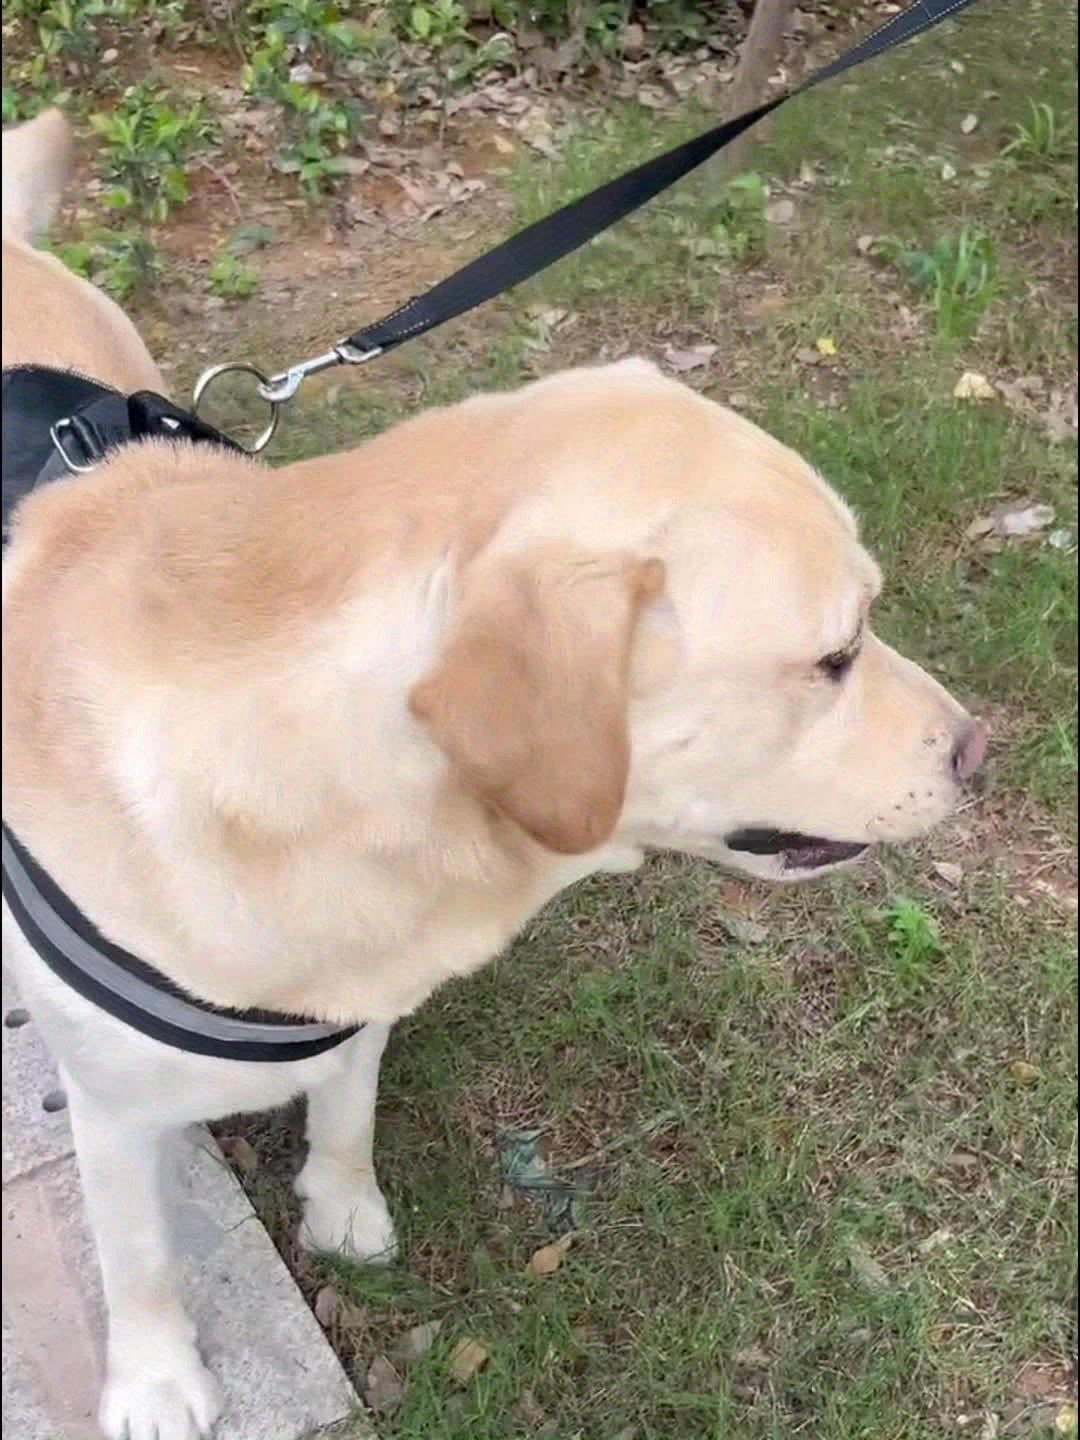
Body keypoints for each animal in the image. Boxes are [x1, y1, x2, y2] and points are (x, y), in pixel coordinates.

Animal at [0, 112, 984, 1440]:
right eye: (835, 655)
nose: (979, 748)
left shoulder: (364, 994)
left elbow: (347, 1104)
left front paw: (340, 1205)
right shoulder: (112, 1106)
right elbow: (139, 1249)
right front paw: (157, 1384)